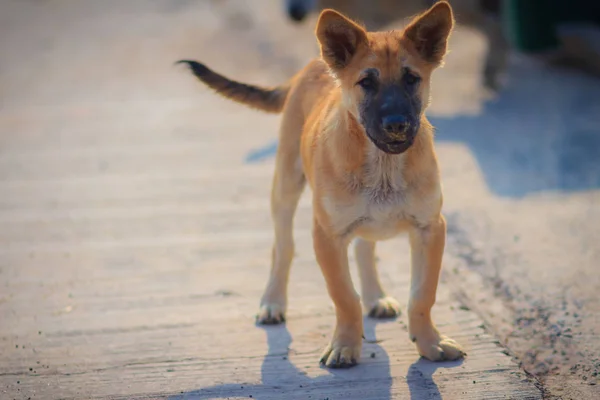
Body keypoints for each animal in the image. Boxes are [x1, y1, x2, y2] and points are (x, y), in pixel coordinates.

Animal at [176, 0, 466, 368]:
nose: (397, 125)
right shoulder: (326, 236)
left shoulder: (430, 229)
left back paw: (376, 296)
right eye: (366, 83)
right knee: (282, 248)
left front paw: (430, 342)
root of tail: (313, 64)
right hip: (285, 187)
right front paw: (345, 345)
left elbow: (422, 295)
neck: (383, 166)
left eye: (411, 79)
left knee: (364, 248)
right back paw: (273, 302)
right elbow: (344, 296)